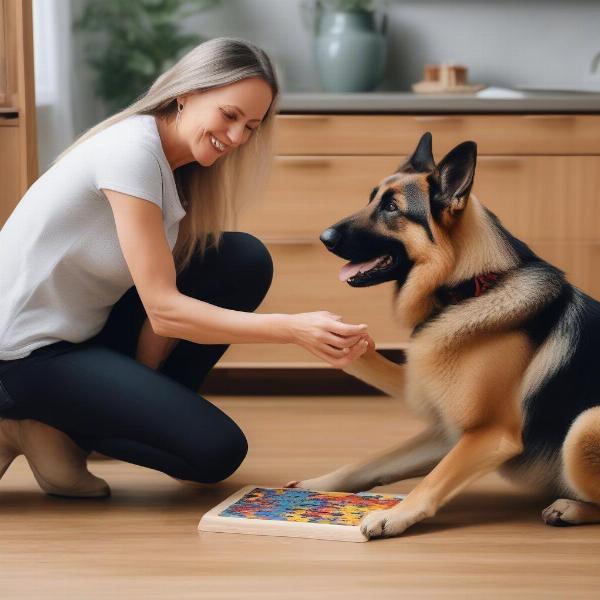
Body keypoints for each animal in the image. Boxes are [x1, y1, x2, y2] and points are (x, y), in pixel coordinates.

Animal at [284, 134, 600, 540]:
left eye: (391, 207)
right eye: (372, 198)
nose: (322, 237)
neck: (470, 287)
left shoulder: (489, 435)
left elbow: (434, 479)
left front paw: (393, 515)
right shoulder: (447, 432)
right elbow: (372, 462)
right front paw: (318, 483)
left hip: (585, 426)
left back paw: (570, 508)